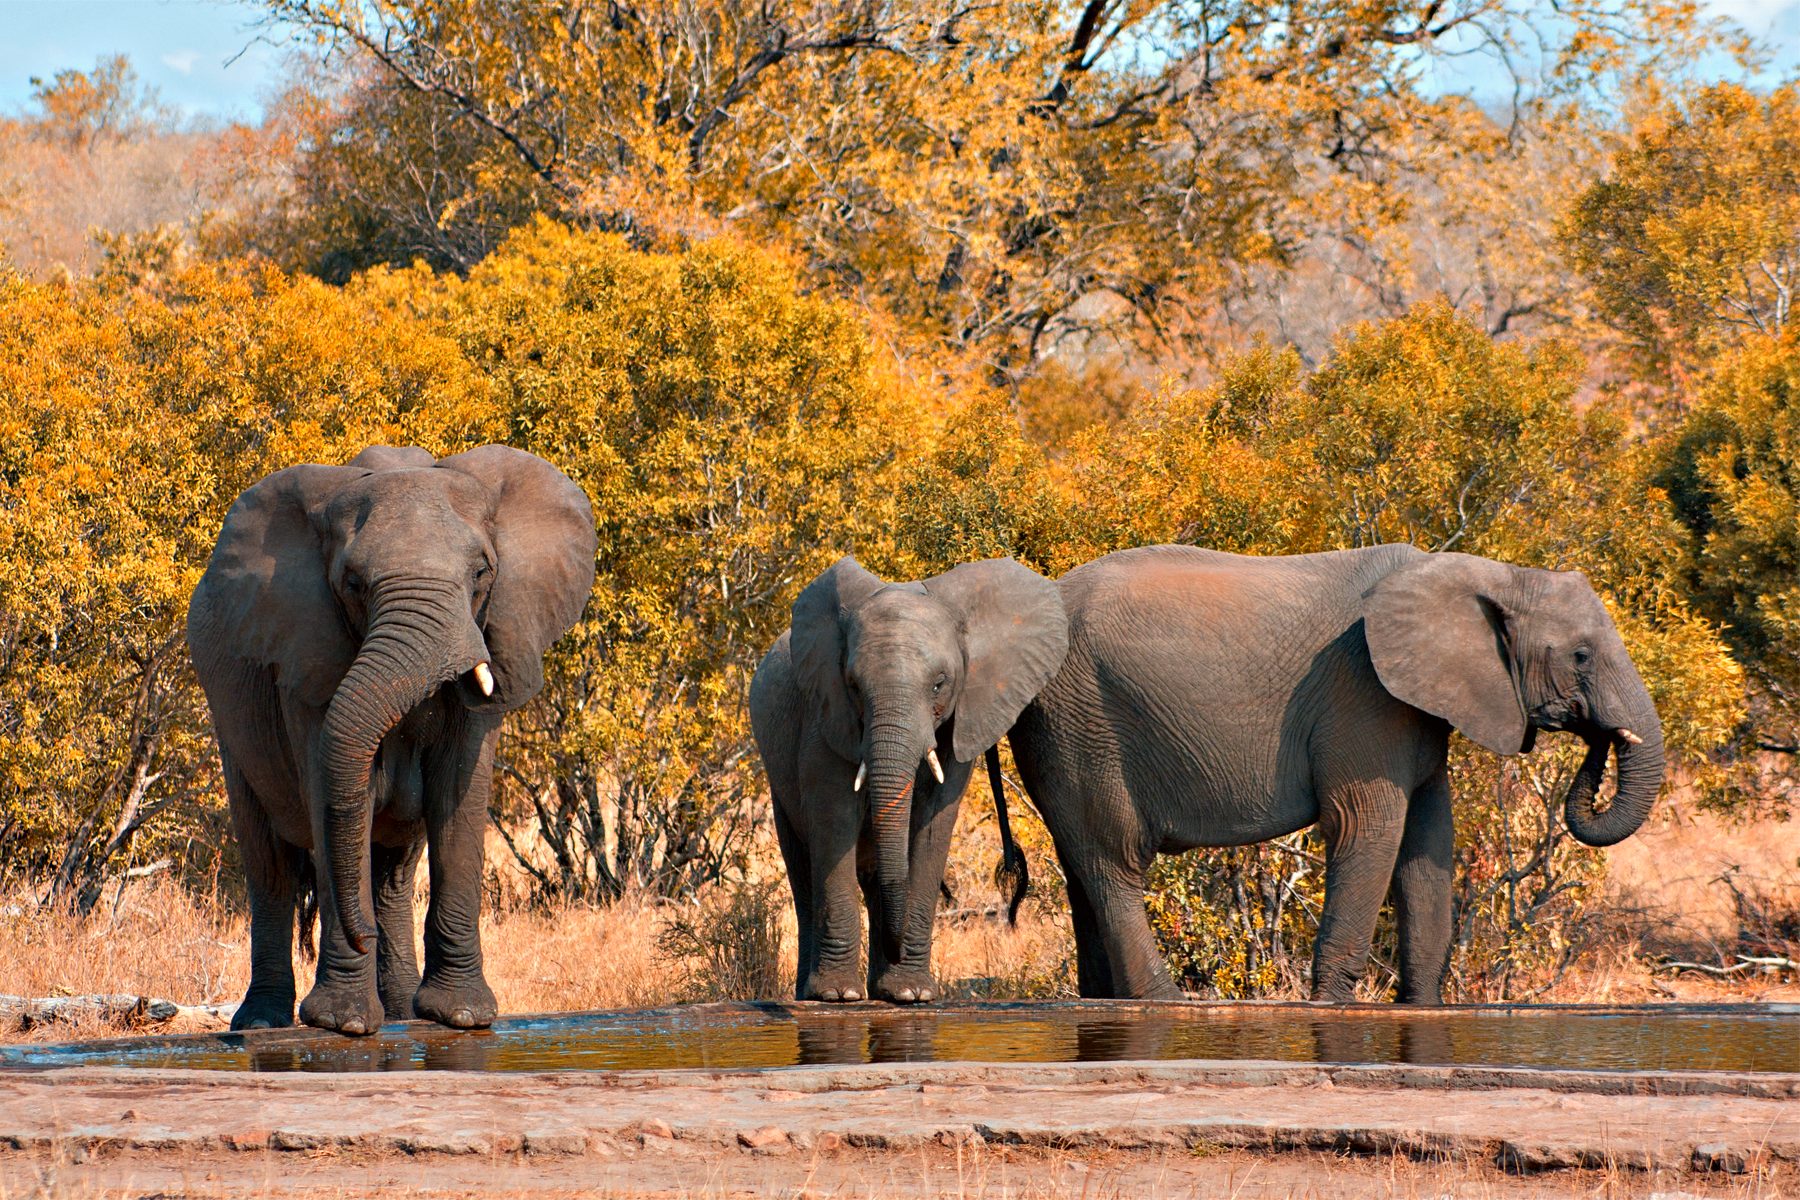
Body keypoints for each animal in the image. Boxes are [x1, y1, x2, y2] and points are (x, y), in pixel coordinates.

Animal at [187, 444, 595, 1035]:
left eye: (482, 572)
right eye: (353, 582)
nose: (364, 937)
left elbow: (460, 799)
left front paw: (462, 1016)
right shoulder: (307, 657)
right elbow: (332, 800)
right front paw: (345, 1024)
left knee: (394, 874)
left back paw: (403, 1011)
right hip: (229, 720)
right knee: (271, 865)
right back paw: (262, 1024)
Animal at [749, 556, 1067, 1004]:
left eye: (939, 684)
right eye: (853, 685)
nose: (896, 947)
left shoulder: (958, 721)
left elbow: (933, 826)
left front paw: (910, 994)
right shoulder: (825, 715)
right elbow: (833, 817)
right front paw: (838, 996)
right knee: (803, 867)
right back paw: (812, 994)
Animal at [996, 543, 1664, 1005]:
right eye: (1581, 656)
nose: (1598, 739)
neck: (1490, 574)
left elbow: (1428, 844)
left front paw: (1422, 1006)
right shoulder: (1364, 697)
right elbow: (1366, 829)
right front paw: (1334, 1006)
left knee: (1083, 868)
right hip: (1083, 724)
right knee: (1115, 860)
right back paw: (1167, 1003)